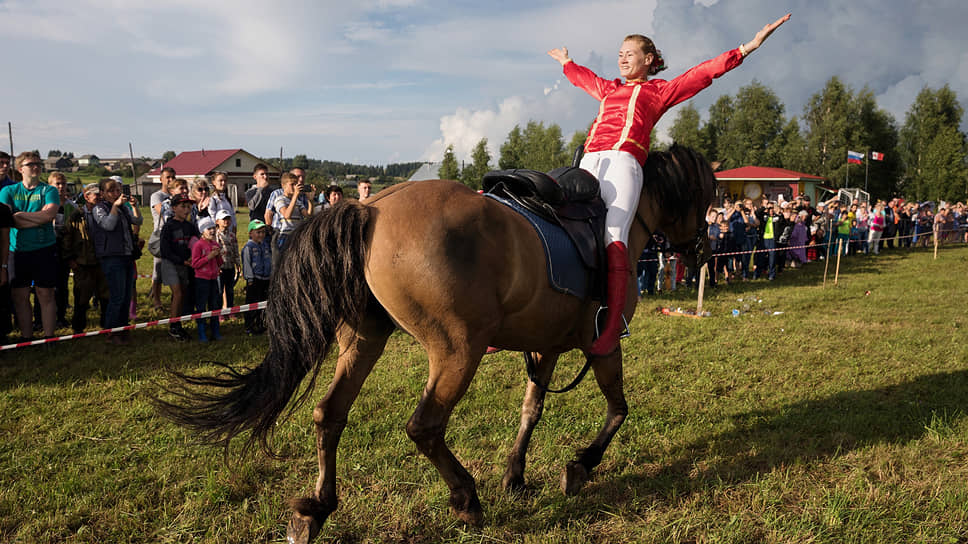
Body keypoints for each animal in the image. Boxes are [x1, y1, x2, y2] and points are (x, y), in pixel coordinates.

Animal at [157, 142, 720, 540]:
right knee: (424, 427)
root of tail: (370, 210)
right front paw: (579, 467)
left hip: (364, 341)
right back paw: (466, 499)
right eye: (707, 197)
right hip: (457, 350)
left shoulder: (546, 347)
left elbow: (531, 410)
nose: (703, 251)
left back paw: (316, 509)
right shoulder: (602, 344)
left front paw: (516, 476)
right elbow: (618, 409)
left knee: (328, 415)